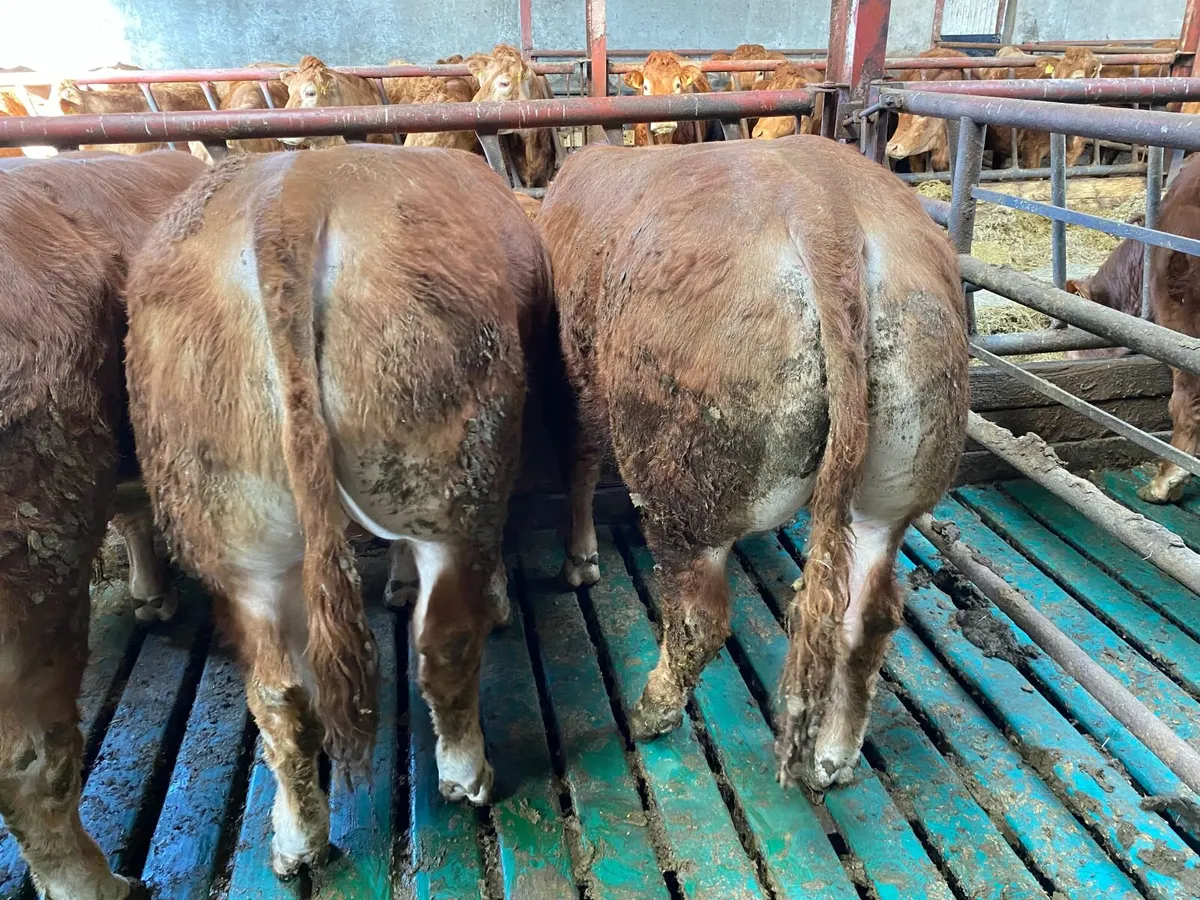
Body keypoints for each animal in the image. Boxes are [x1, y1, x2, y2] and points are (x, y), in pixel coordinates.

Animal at [123, 145, 551, 877]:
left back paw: (298, 838)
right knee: (442, 641)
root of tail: (288, 201)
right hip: (451, 479)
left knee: (279, 694)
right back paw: (466, 773)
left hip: (235, 530)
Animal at [538, 136, 968, 791]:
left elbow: (581, 466)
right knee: (869, 613)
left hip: (684, 484)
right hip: (899, 477)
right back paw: (834, 755)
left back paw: (649, 713)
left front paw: (580, 563)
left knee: (699, 620)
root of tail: (826, 209)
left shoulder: (574, 381)